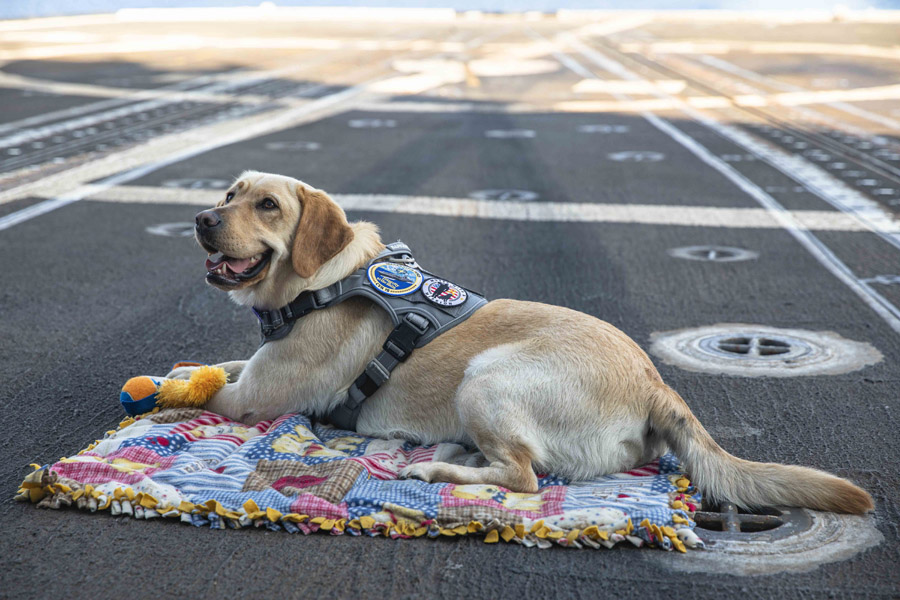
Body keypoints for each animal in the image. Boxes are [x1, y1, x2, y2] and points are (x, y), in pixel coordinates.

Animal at [169, 171, 872, 512]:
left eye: (267, 205)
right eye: (228, 194)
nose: (201, 218)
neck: (321, 282)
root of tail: (656, 383)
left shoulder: (253, 402)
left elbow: (201, 393)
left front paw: (170, 392)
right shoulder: (254, 371)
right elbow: (216, 364)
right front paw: (188, 368)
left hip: (487, 377)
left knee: (524, 477)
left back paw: (432, 468)